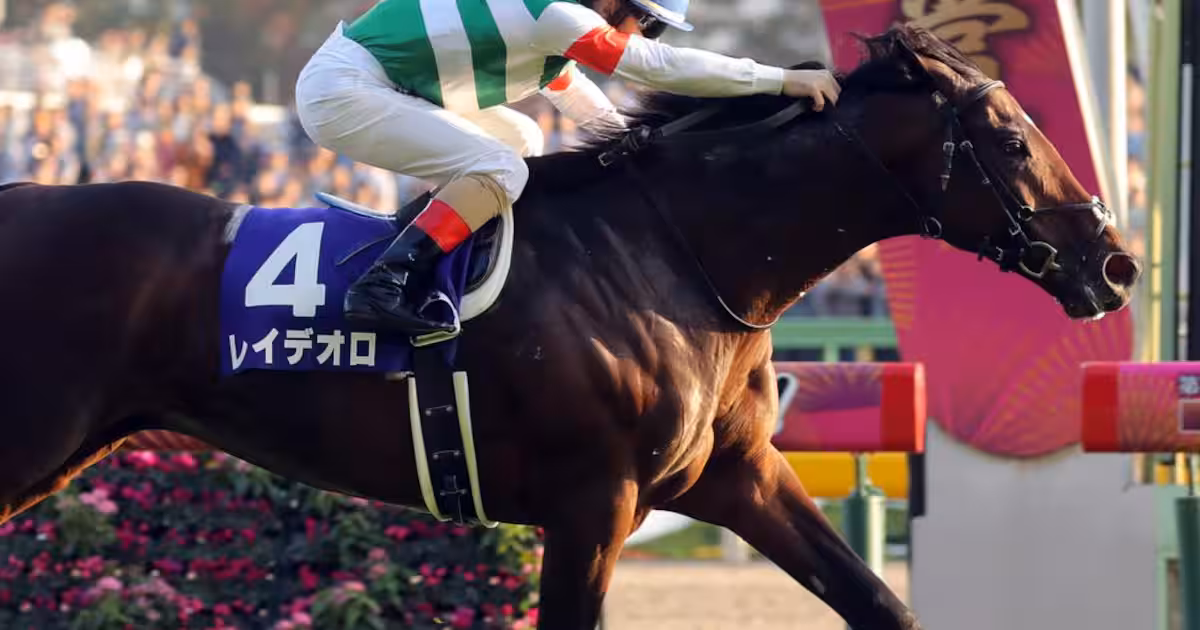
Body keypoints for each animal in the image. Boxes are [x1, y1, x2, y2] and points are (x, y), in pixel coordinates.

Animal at [0, 24, 1138, 629]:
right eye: (1010, 137)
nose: (1115, 263)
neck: (677, 254)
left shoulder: (737, 476)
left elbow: (878, 602)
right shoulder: (595, 502)